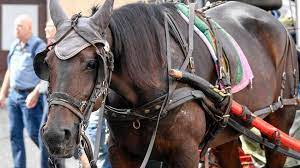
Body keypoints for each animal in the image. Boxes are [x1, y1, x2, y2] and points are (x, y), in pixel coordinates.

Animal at [36, 0, 298, 167]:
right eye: (46, 63)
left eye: (92, 63)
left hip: (280, 123)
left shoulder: (185, 153)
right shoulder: (121, 153)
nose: (55, 135)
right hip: (226, 133)